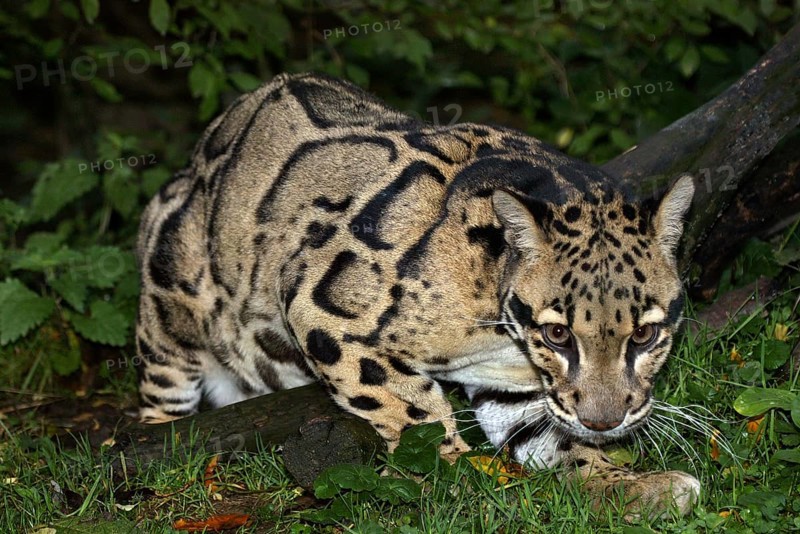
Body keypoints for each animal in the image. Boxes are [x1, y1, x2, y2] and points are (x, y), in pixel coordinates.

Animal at [135, 72, 700, 517]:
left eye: (646, 335)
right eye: (558, 334)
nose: (603, 421)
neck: (498, 328)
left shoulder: (515, 385)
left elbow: (551, 436)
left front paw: (625, 485)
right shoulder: (319, 304)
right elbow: (413, 412)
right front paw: (450, 481)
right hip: (169, 300)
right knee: (159, 399)